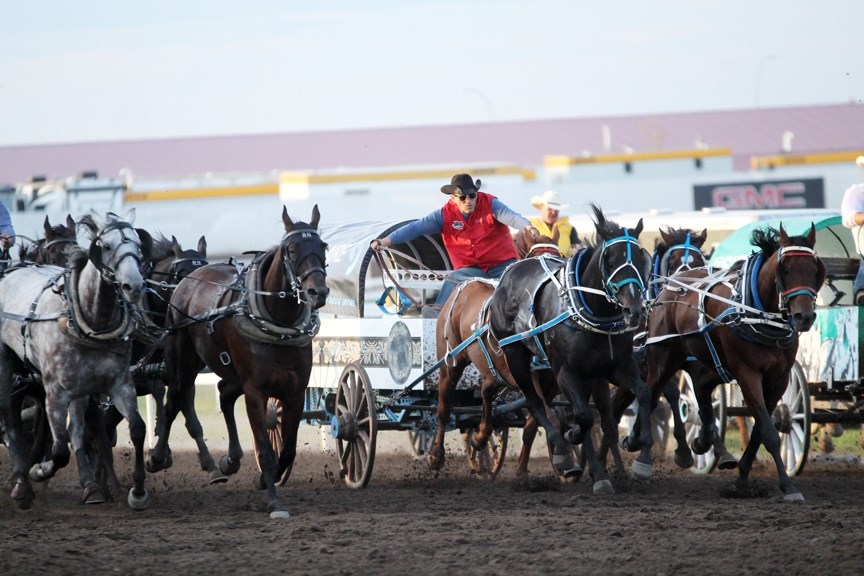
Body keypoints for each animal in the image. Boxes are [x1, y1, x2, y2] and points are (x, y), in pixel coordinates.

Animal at [0, 208, 154, 508]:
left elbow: (137, 429)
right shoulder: (54, 392)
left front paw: (137, 491)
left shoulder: (119, 383)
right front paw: (39, 471)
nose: (134, 285)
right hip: (8, 368)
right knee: (12, 423)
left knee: (78, 431)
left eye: (137, 245)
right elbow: (59, 450)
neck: (89, 321)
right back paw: (22, 483)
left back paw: (91, 486)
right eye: (106, 246)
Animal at [159, 206, 328, 516]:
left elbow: (288, 450)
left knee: (224, 395)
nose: (317, 292)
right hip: (182, 363)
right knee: (174, 401)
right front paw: (274, 501)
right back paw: (157, 457)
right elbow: (265, 449)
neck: (278, 325)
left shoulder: (296, 392)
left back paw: (230, 460)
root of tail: (190, 280)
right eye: (292, 249)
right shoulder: (255, 391)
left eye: (323, 246)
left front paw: (263, 479)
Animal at [490, 205, 652, 492]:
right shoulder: (567, 373)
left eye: (642, 260)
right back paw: (563, 454)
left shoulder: (616, 368)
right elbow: (584, 418)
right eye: (611, 261)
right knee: (535, 404)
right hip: (516, 356)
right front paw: (596, 473)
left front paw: (640, 454)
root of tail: (511, 272)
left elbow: (642, 393)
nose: (634, 310)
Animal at [644, 224, 828, 500]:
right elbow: (769, 432)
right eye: (785, 269)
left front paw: (741, 477)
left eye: (816, 270)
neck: (759, 313)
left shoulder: (780, 378)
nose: (803, 316)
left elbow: (760, 429)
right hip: (662, 358)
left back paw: (702, 443)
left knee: (700, 393)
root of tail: (674, 286)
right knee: (651, 393)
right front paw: (788, 484)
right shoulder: (747, 373)